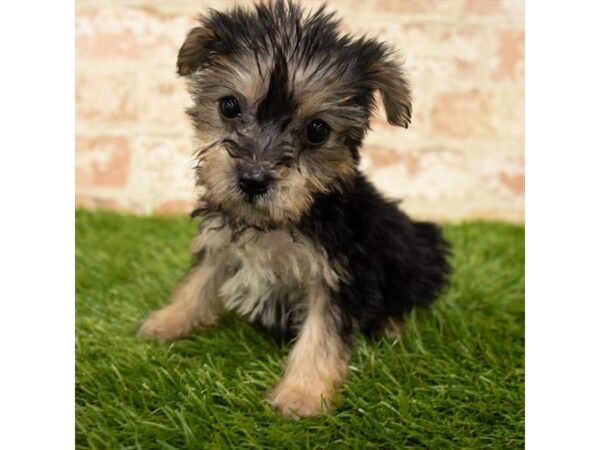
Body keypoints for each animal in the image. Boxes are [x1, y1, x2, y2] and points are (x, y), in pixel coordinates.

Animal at [139, 1, 450, 420]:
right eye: (229, 106)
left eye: (318, 130)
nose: (253, 180)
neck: (277, 222)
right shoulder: (222, 242)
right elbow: (199, 280)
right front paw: (168, 320)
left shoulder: (338, 272)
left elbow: (321, 333)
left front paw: (301, 395)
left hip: (418, 251)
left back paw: (391, 324)